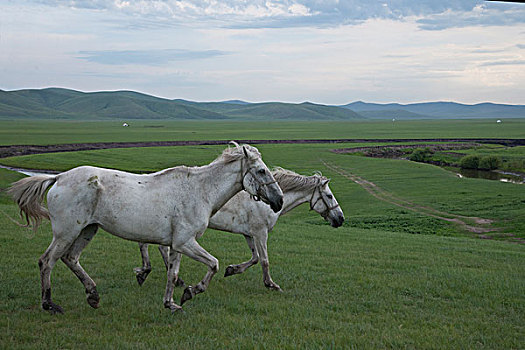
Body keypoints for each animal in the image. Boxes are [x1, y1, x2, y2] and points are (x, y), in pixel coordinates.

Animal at [7, 144, 282, 314]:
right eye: (261, 170)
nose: (278, 201)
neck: (199, 191)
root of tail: (59, 178)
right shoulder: (186, 242)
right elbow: (213, 264)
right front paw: (191, 292)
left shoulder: (177, 245)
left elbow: (172, 274)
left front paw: (171, 303)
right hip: (66, 233)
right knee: (47, 261)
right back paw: (49, 304)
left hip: (87, 230)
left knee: (70, 259)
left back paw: (93, 295)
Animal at [133, 168, 342, 292]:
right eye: (329, 196)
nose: (340, 219)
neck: (266, 202)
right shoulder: (260, 233)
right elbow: (264, 260)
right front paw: (271, 284)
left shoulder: (249, 234)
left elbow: (255, 258)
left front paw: (232, 270)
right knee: (157, 247)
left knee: (150, 245)